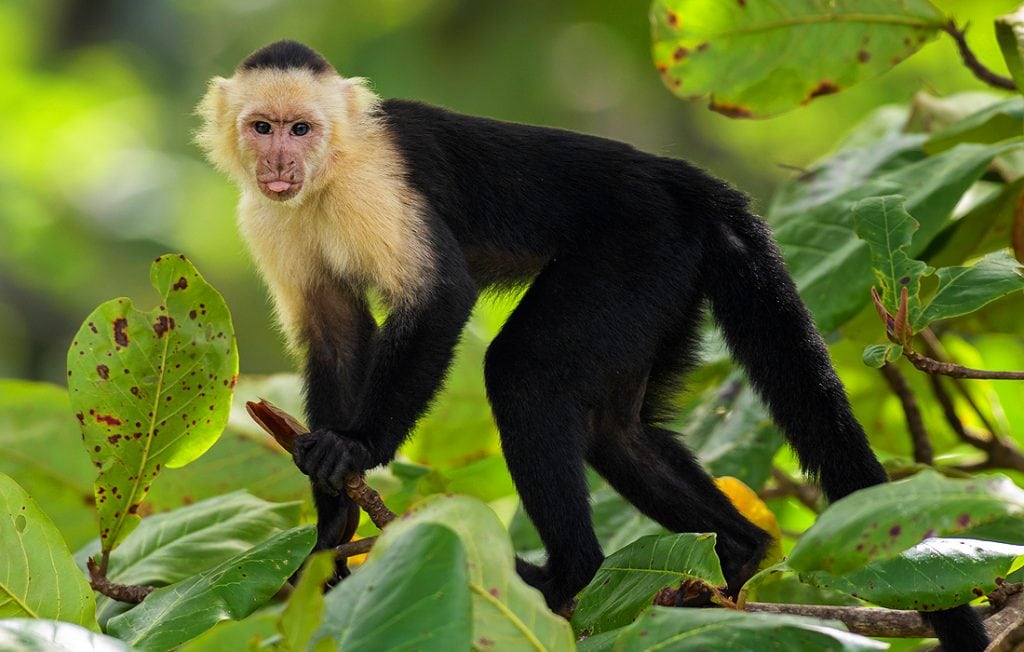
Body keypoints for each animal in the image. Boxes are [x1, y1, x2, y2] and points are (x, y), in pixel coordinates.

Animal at [196, 40, 988, 650]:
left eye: (302, 128)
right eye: (262, 126)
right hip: (666, 281)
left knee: (523, 375)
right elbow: (333, 330)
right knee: (616, 430)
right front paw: (331, 524)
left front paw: (357, 450)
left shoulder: (376, 185)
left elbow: (440, 297)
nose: (279, 161)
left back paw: (570, 572)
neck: (324, 181)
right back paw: (734, 559)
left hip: (636, 246)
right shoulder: (265, 219)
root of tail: (681, 180)